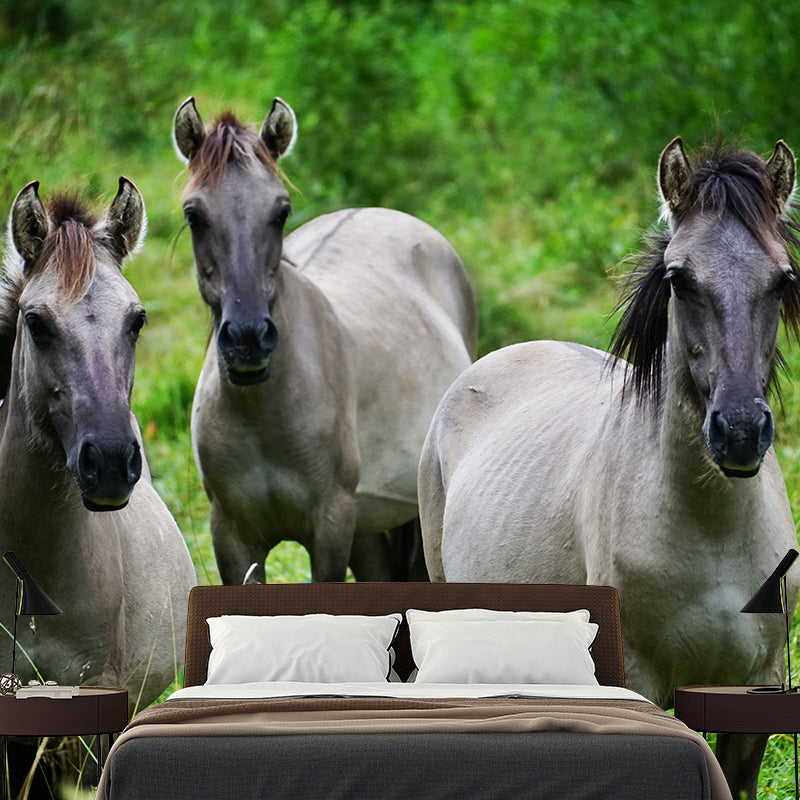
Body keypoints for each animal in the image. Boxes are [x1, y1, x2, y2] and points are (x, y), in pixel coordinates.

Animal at [173, 97, 477, 584]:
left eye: (280, 211)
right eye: (193, 214)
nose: (247, 338)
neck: (262, 415)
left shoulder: (331, 525)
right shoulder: (232, 537)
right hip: (368, 527)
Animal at [418, 138, 800, 799]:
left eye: (782, 279)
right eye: (679, 279)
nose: (739, 432)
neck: (715, 535)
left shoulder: (753, 698)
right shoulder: (641, 680)